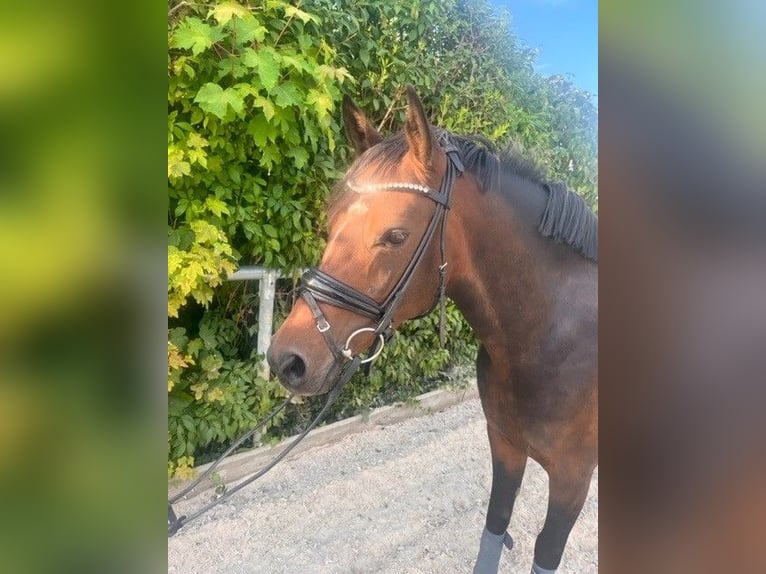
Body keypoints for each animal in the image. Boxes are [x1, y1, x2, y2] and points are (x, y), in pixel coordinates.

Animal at [268, 86, 600, 574]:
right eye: (331, 224)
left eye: (395, 236)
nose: (286, 360)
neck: (550, 338)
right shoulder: (505, 445)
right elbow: (494, 525)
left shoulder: (573, 480)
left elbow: (546, 551)